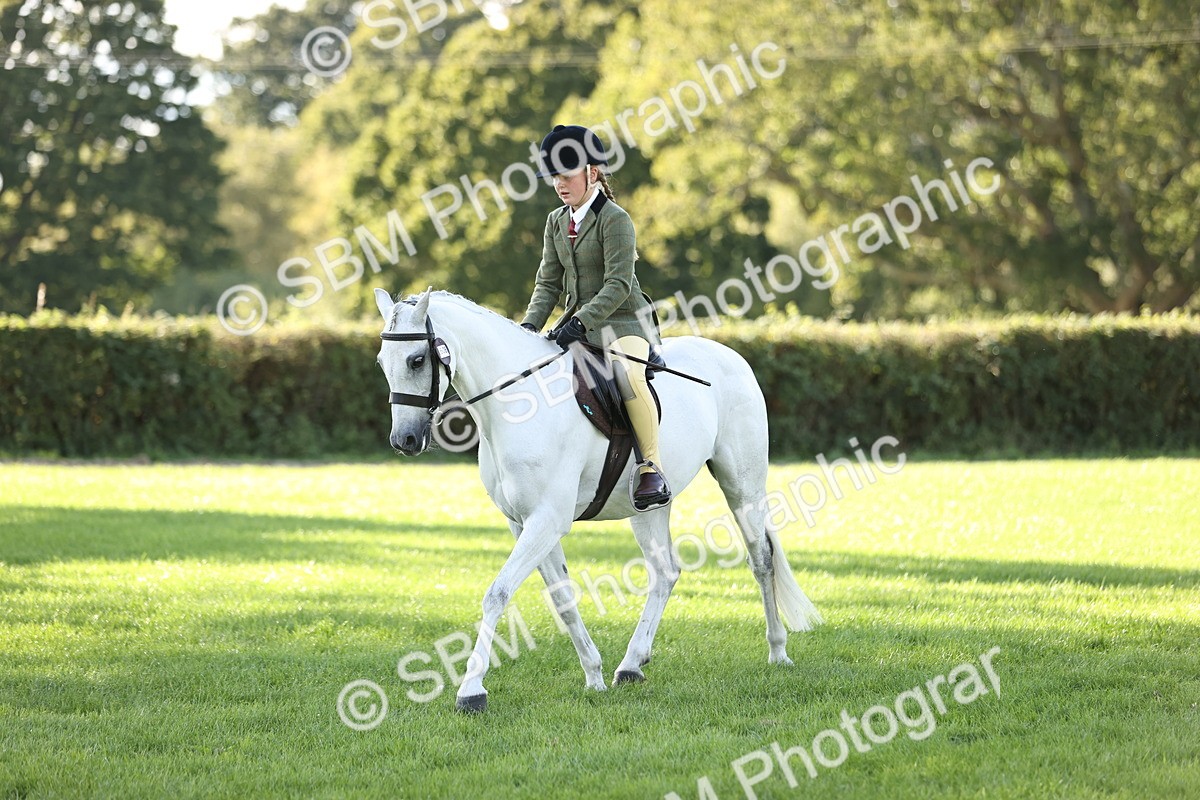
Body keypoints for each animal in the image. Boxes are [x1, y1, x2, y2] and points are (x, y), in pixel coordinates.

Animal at [374, 287, 822, 712]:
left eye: (417, 360)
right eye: (381, 361)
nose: (404, 440)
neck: (518, 404)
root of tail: (732, 355)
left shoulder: (546, 520)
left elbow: (497, 594)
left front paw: (471, 690)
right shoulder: (524, 523)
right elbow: (563, 599)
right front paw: (594, 675)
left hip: (742, 485)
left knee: (761, 559)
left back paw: (778, 651)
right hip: (649, 507)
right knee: (665, 572)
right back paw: (631, 665)